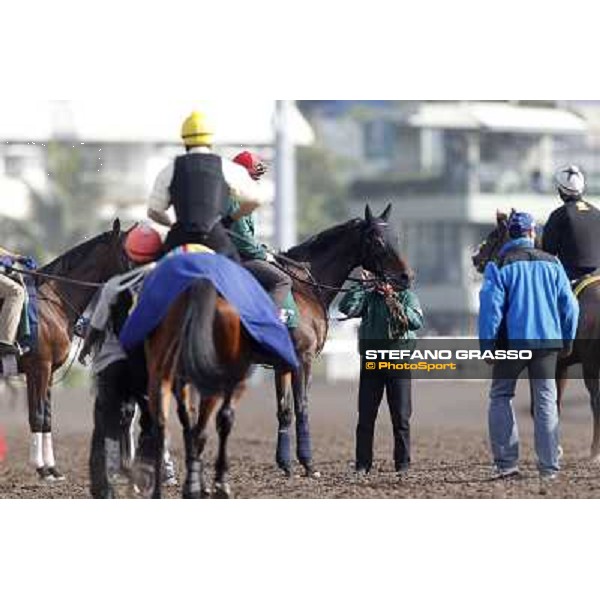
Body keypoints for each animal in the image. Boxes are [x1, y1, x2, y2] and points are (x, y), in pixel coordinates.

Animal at [13, 219, 129, 478]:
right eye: (127, 254)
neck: (54, 304)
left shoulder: (48, 372)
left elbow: (47, 417)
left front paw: (52, 468)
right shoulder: (39, 368)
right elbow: (37, 415)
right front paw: (40, 468)